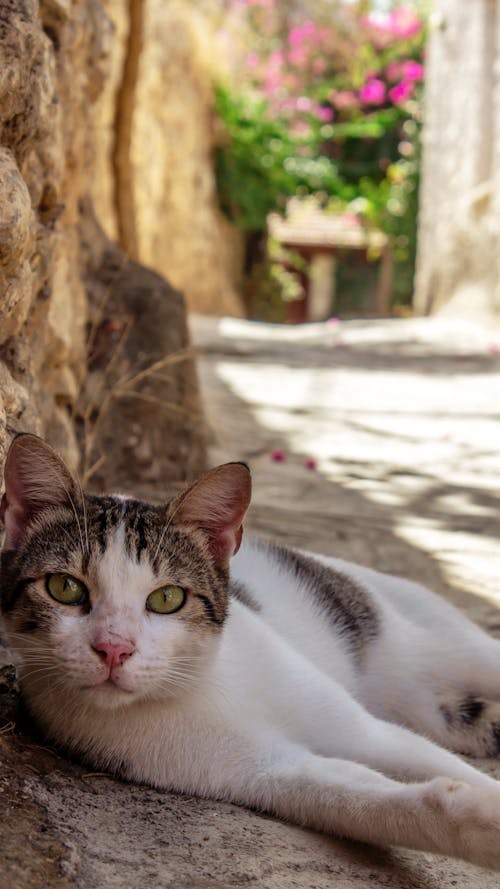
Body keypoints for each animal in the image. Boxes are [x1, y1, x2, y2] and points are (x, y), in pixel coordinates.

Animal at [0, 436, 500, 868]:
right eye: (65, 588)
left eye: (166, 598)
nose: (113, 648)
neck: (205, 682)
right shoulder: (261, 769)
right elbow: (355, 796)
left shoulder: (363, 732)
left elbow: (414, 756)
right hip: (431, 707)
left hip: (432, 644)